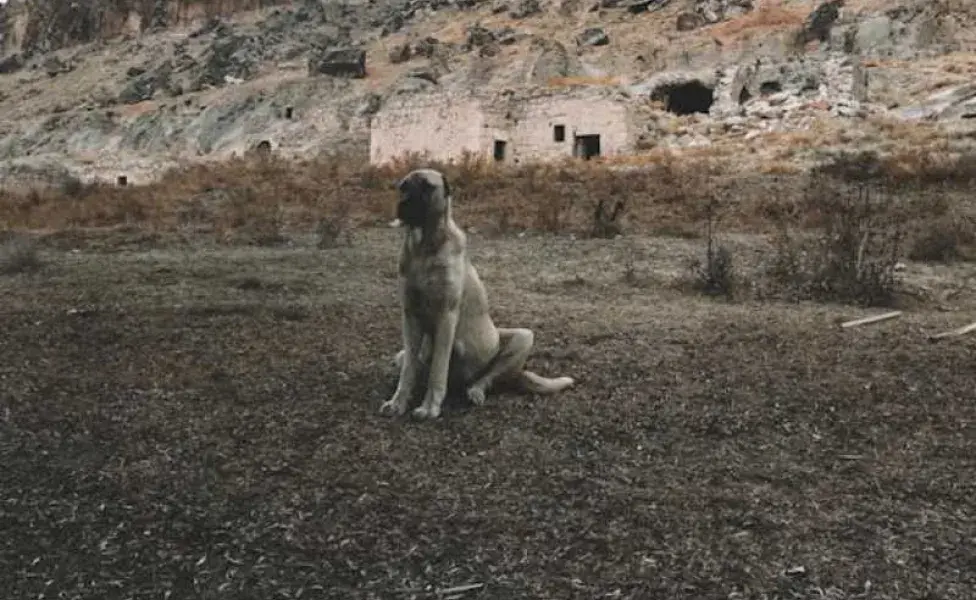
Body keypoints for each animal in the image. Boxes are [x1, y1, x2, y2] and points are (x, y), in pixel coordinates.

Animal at [380, 166, 580, 420]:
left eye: (426, 186)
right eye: (403, 187)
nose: (403, 204)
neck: (425, 246)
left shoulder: (446, 316)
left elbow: (438, 368)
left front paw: (429, 406)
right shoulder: (409, 314)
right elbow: (409, 370)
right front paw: (398, 402)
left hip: (523, 337)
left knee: (486, 378)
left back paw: (475, 391)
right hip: (403, 352)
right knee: (408, 362)